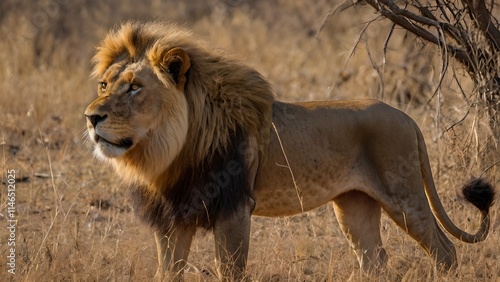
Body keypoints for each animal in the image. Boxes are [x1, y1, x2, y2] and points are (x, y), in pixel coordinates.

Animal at [84, 21, 494, 280]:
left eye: (135, 87)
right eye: (104, 84)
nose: (91, 117)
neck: (168, 151)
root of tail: (407, 117)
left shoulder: (235, 208)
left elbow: (230, 270)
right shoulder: (172, 216)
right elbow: (167, 272)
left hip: (403, 195)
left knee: (444, 251)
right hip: (354, 205)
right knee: (375, 260)